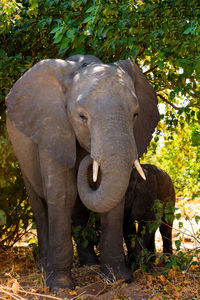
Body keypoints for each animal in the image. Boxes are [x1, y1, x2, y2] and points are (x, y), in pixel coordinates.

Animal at [5, 54, 160, 290]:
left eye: (135, 115)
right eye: (82, 117)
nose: (88, 158)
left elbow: (112, 202)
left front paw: (118, 279)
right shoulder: (52, 128)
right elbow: (63, 194)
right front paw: (60, 286)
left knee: (78, 208)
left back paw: (89, 263)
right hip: (21, 152)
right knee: (40, 206)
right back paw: (43, 267)